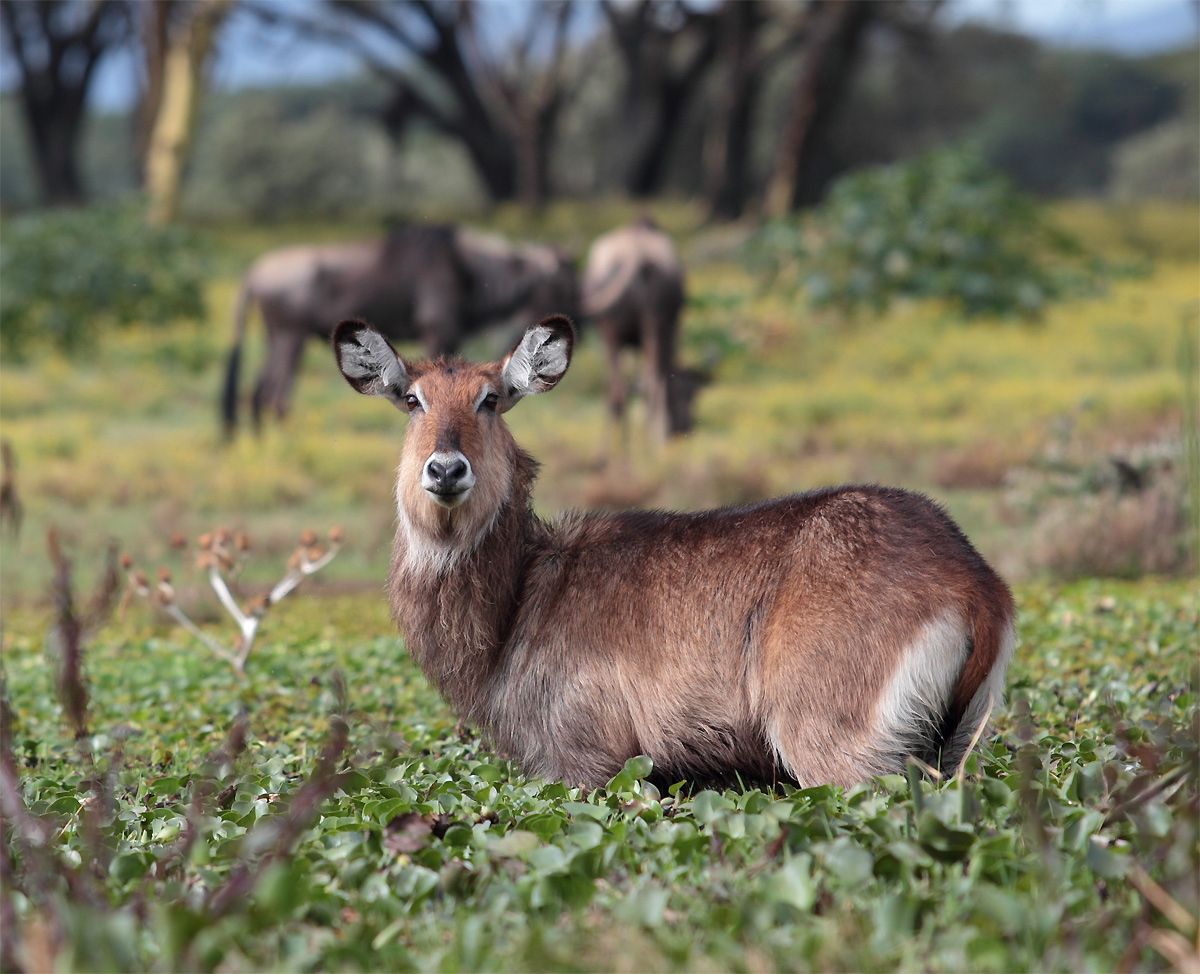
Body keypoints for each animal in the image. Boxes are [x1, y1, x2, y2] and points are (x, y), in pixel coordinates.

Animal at [333, 316, 1017, 786]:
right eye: (413, 399)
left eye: (491, 398)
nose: (446, 469)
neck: (518, 603)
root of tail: (975, 583)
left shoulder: (584, 763)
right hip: (957, 748)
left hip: (835, 746)